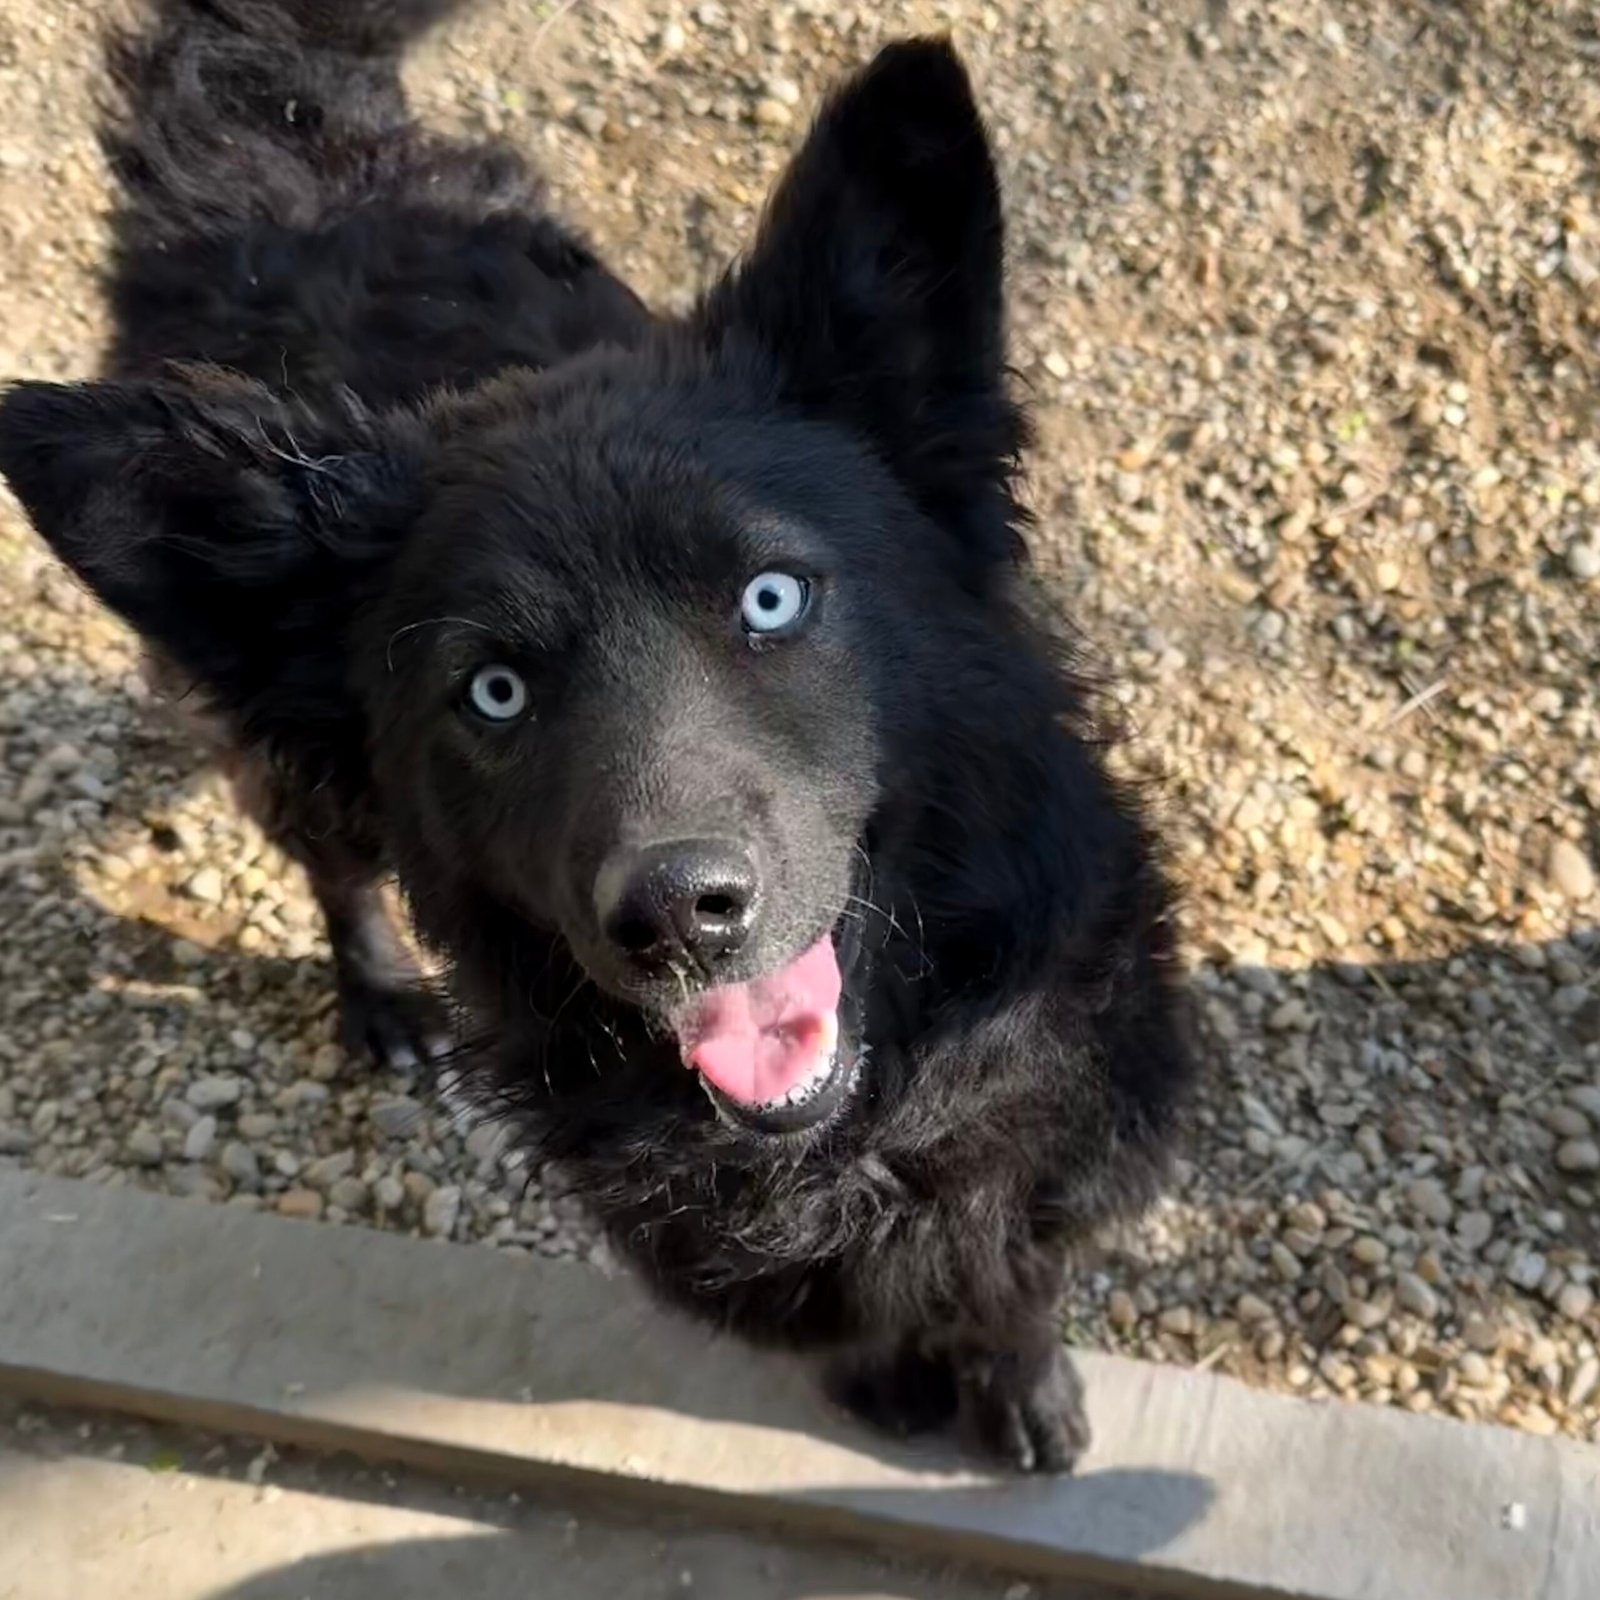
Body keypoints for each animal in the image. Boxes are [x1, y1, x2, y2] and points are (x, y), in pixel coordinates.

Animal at [0, 0, 1196, 1472]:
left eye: (771, 596)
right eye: (493, 692)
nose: (678, 914)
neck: (850, 1131)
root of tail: (272, 153)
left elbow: (1016, 1274)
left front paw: (1023, 1386)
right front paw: (891, 1384)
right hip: (283, 754)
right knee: (332, 861)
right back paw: (382, 994)